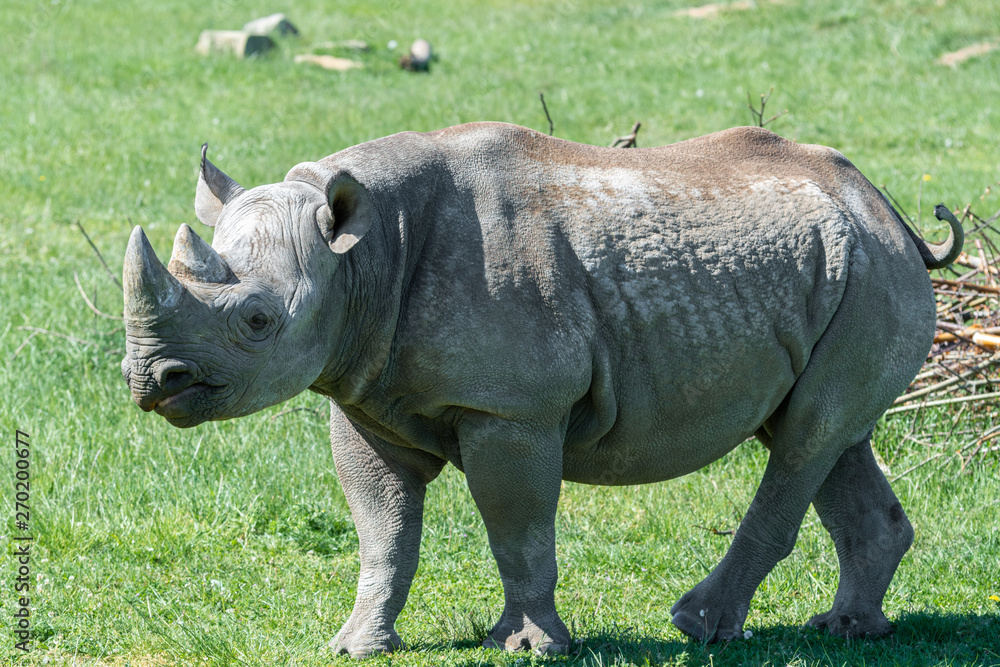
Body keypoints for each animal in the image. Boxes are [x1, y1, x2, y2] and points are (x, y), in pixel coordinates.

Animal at [122, 122, 963, 656]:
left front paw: (527, 645)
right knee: (829, 436)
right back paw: (849, 629)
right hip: (850, 269)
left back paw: (699, 626)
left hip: (873, 271)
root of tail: (891, 210)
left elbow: (516, 523)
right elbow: (382, 529)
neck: (360, 254)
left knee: (802, 441)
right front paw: (355, 645)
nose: (152, 379)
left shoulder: (512, 408)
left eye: (258, 320)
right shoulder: (365, 395)